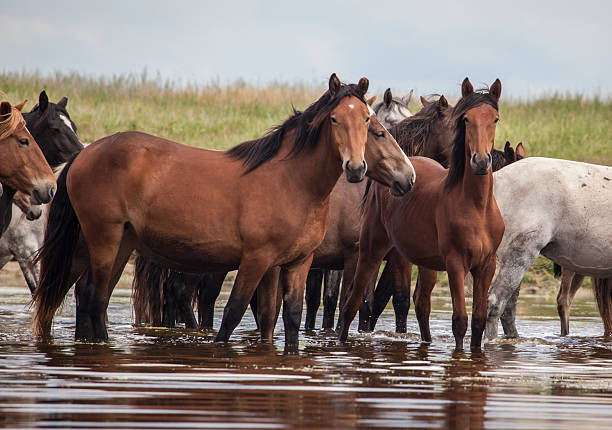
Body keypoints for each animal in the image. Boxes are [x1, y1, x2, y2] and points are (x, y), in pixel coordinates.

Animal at [33, 74, 416, 346]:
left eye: (367, 121)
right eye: (335, 119)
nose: (355, 168)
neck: (293, 182)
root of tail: (85, 153)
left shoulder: (296, 263)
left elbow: (287, 318)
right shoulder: (257, 259)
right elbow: (232, 314)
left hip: (117, 243)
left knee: (86, 295)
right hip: (105, 239)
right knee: (95, 297)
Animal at [338, 78, 504, 352]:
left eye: (495, 119)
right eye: (466, 120)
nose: (480, 162)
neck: (476, 206)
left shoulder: (486, 266)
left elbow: (478, 321)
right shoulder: (455, 264)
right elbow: (459, 320)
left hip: (426, 263)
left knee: (421, 303)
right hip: (372, 251)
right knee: (353, 301)